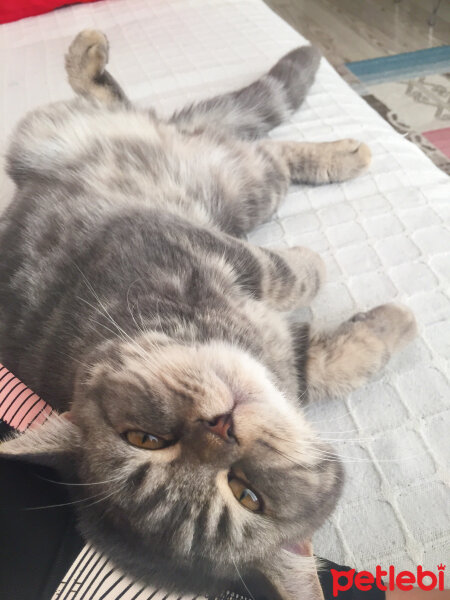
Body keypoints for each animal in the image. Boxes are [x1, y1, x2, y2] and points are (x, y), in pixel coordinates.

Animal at [0, 31, 416, 600]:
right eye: (247, 494)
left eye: (144, 438)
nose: (222, 427)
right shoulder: (288, 353)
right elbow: (332, 350)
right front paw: (390, 318)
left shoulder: (178, 240)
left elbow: (281, 276)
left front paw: (315, 272)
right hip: (244, 185)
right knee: (263, 154)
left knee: (152, 110)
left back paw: (89, 57)